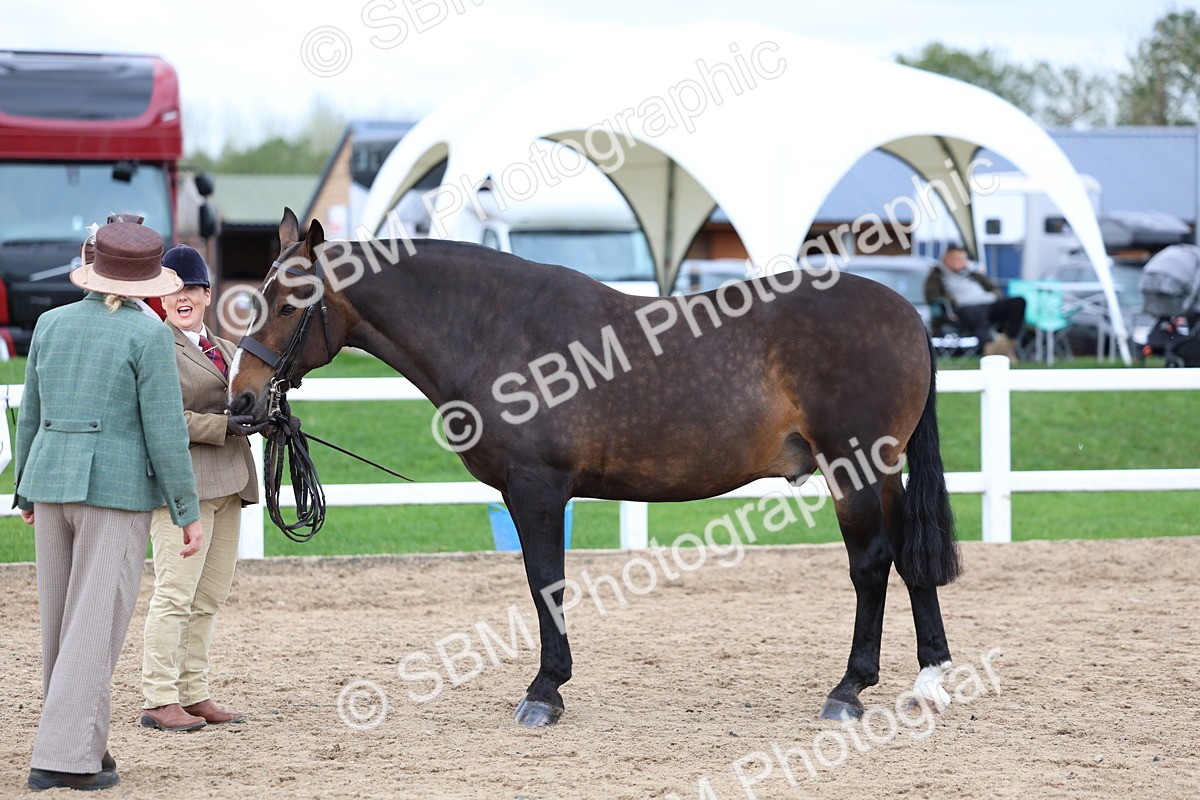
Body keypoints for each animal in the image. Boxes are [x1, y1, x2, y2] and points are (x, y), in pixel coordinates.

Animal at [228, 208, 962, 727]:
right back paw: (929, 681)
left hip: (854, 467)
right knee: (909, 558)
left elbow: (545, 583)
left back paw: (849, 689)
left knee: (872, 564)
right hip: (880, 472)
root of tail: (907, 313)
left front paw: (544, 692)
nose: (242, 401)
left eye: (290, 305)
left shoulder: (537, 489)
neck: (496, 330)